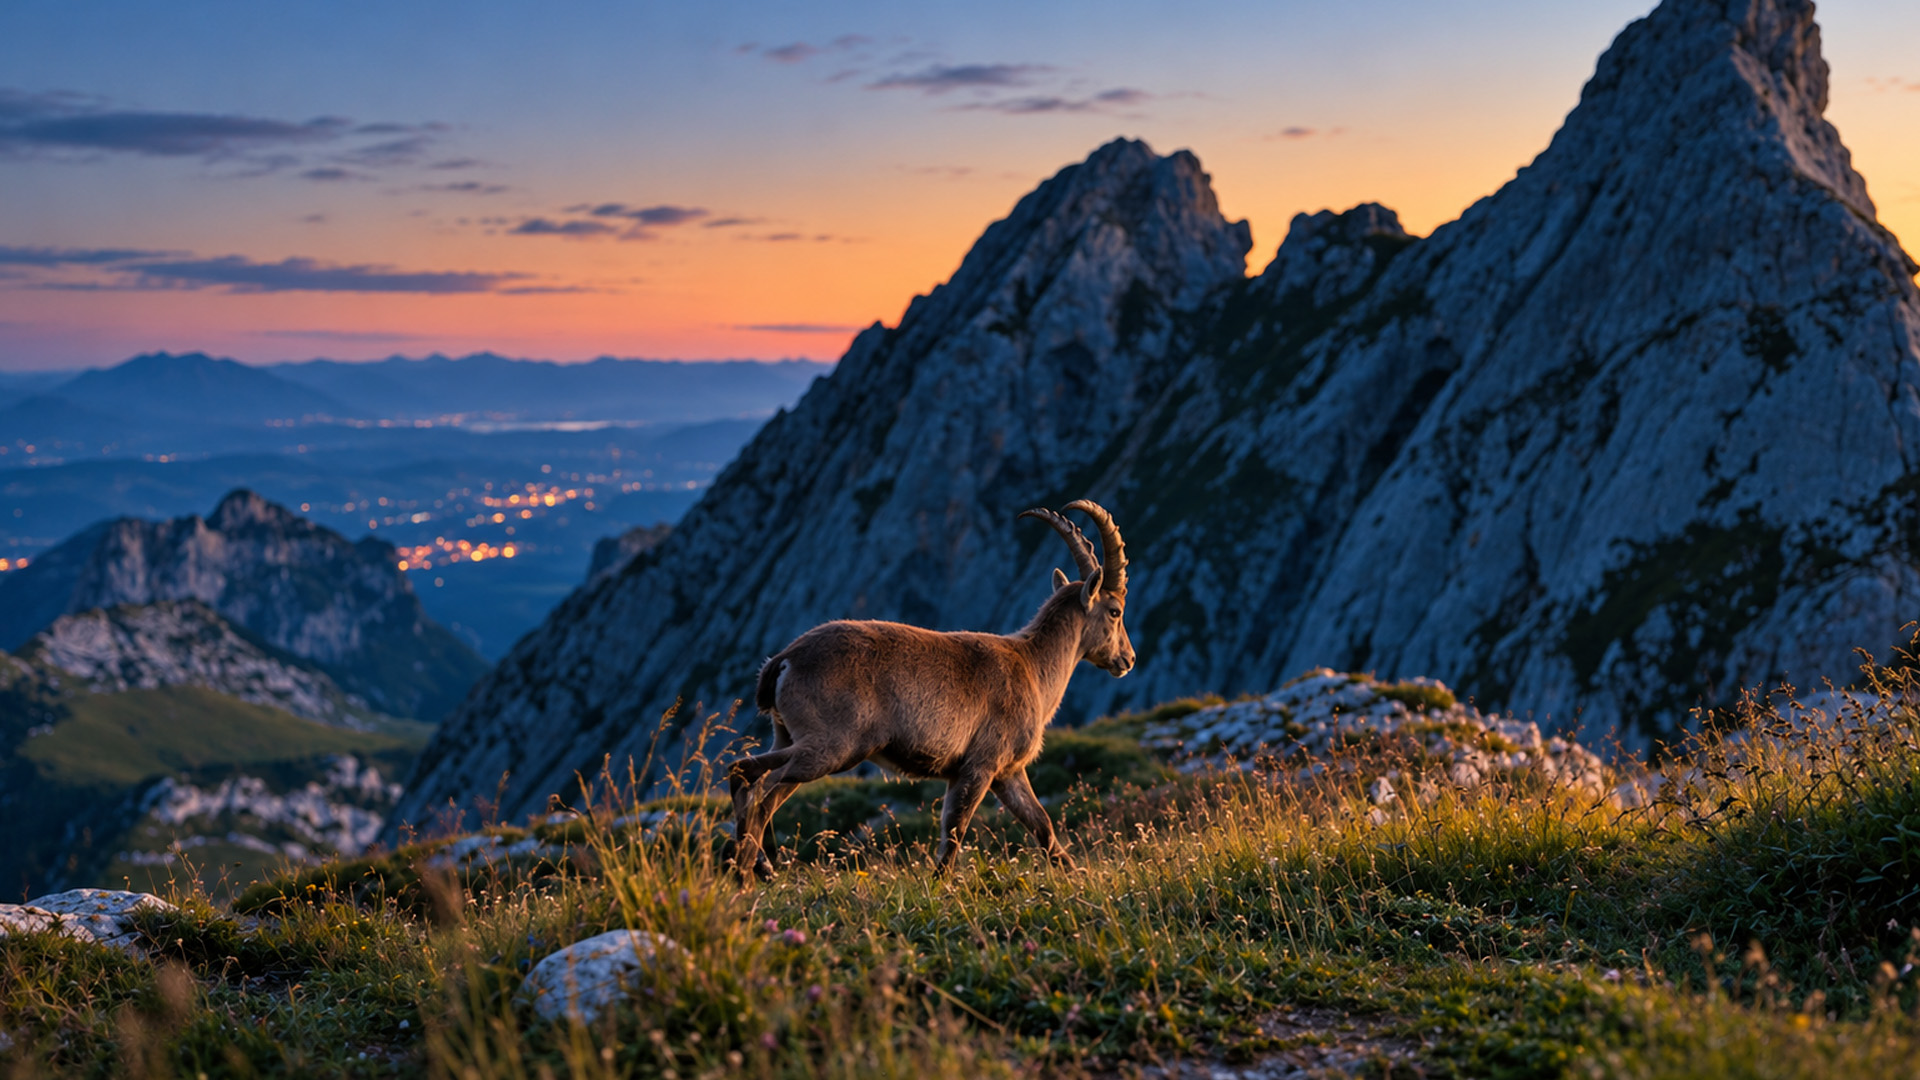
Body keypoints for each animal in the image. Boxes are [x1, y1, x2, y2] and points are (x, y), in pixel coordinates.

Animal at [724, 500, 1134, 878]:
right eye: (1115, 611)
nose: (1128, 659)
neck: (1033, 666)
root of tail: (784, 660)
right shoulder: (980, 765)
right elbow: (955, 830)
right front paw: (941, 886)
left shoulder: (1007, 773)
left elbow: (1043, 826)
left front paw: (1078, 877)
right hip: (830, 746)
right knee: (758, 783)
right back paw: (749, 870)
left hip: (787, 735)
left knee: (750, 777)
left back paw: (751, 864)